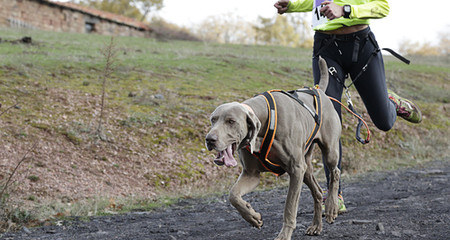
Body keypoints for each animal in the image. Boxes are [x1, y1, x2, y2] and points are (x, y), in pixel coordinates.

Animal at [205, 57, 342, 239]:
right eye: (213, 120)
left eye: (231, 121)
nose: (209, 139)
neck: (266, 119)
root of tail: (318, 90)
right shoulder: (251, 174)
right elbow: (233, 195)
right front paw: (253, 217)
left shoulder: (295, 169)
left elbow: (289, 207)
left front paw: (284, 235)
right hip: (306, 167)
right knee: (318, 192)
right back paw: (316, 226)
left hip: (329, 151)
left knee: (335, 172)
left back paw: (332, 207)